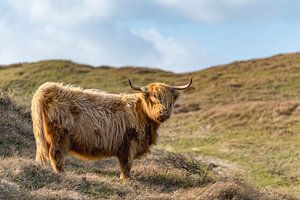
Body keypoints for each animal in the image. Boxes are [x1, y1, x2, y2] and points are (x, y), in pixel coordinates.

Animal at [31, 78, 192, 180]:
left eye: (169, 100)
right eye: (153, 98)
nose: (163, 112)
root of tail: (50, 87)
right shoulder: (128, 142)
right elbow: (126, 164)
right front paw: (126, 179)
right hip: (59, 136)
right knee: (55, 154)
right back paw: (61, 172)